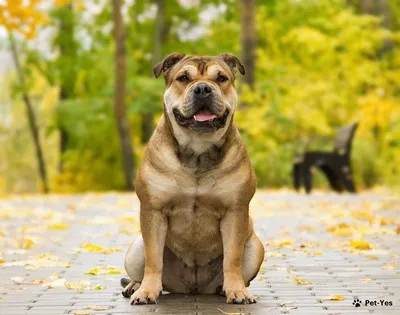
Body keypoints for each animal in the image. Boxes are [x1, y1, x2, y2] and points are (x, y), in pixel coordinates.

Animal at [122, 53, 266, 304]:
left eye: (221, 78)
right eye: (183, 78)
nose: (202, 89)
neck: (198, 152)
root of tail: (193, 288)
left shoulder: (235, 211)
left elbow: (232, 259)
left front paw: (237, 291)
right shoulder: (153, 210)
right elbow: (153, 258)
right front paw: (147, 291)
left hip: (256, 248)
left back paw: (225, 288)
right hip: (135, 250)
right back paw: (135, 286)